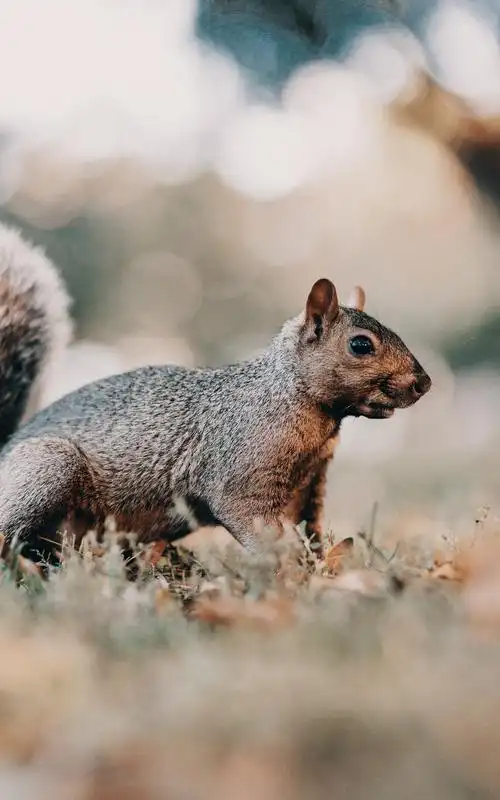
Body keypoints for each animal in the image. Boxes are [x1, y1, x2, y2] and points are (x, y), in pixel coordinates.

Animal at [0, 224, 431, 573]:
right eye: (360, 345)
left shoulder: (309, 485)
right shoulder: (239, 475)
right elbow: (252, 522)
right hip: (49, 467)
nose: (424, 383)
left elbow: (309, 528)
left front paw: (320, 567)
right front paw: (289, 574)